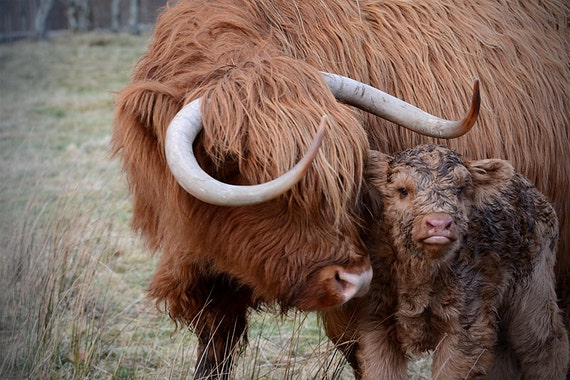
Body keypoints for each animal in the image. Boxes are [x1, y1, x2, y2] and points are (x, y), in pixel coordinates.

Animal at [324, 144, 568, 378]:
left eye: (460, 190)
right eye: (403, 190)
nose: (439, 224)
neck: (419, 276)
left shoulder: (466, 325)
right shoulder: (375, 321)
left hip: (533, 291)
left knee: (547, 348)